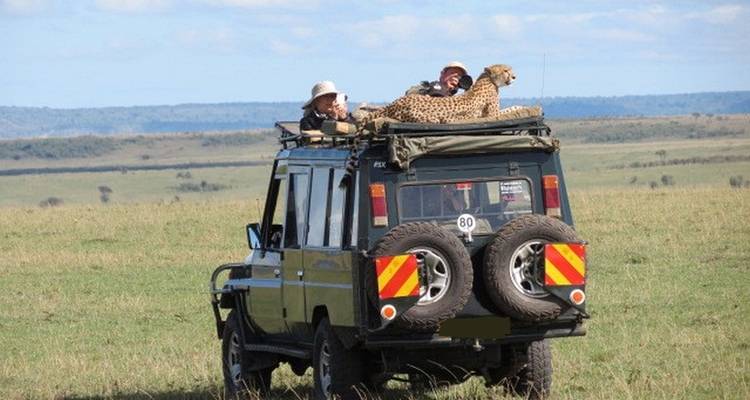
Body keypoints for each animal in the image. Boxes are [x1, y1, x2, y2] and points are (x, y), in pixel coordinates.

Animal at [358, 64, 515, 127]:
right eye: (506, 70)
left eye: (510, 70)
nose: (514, 76)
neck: (487, 79)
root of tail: (396, 102)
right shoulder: (493, 115)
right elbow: (510, 109)